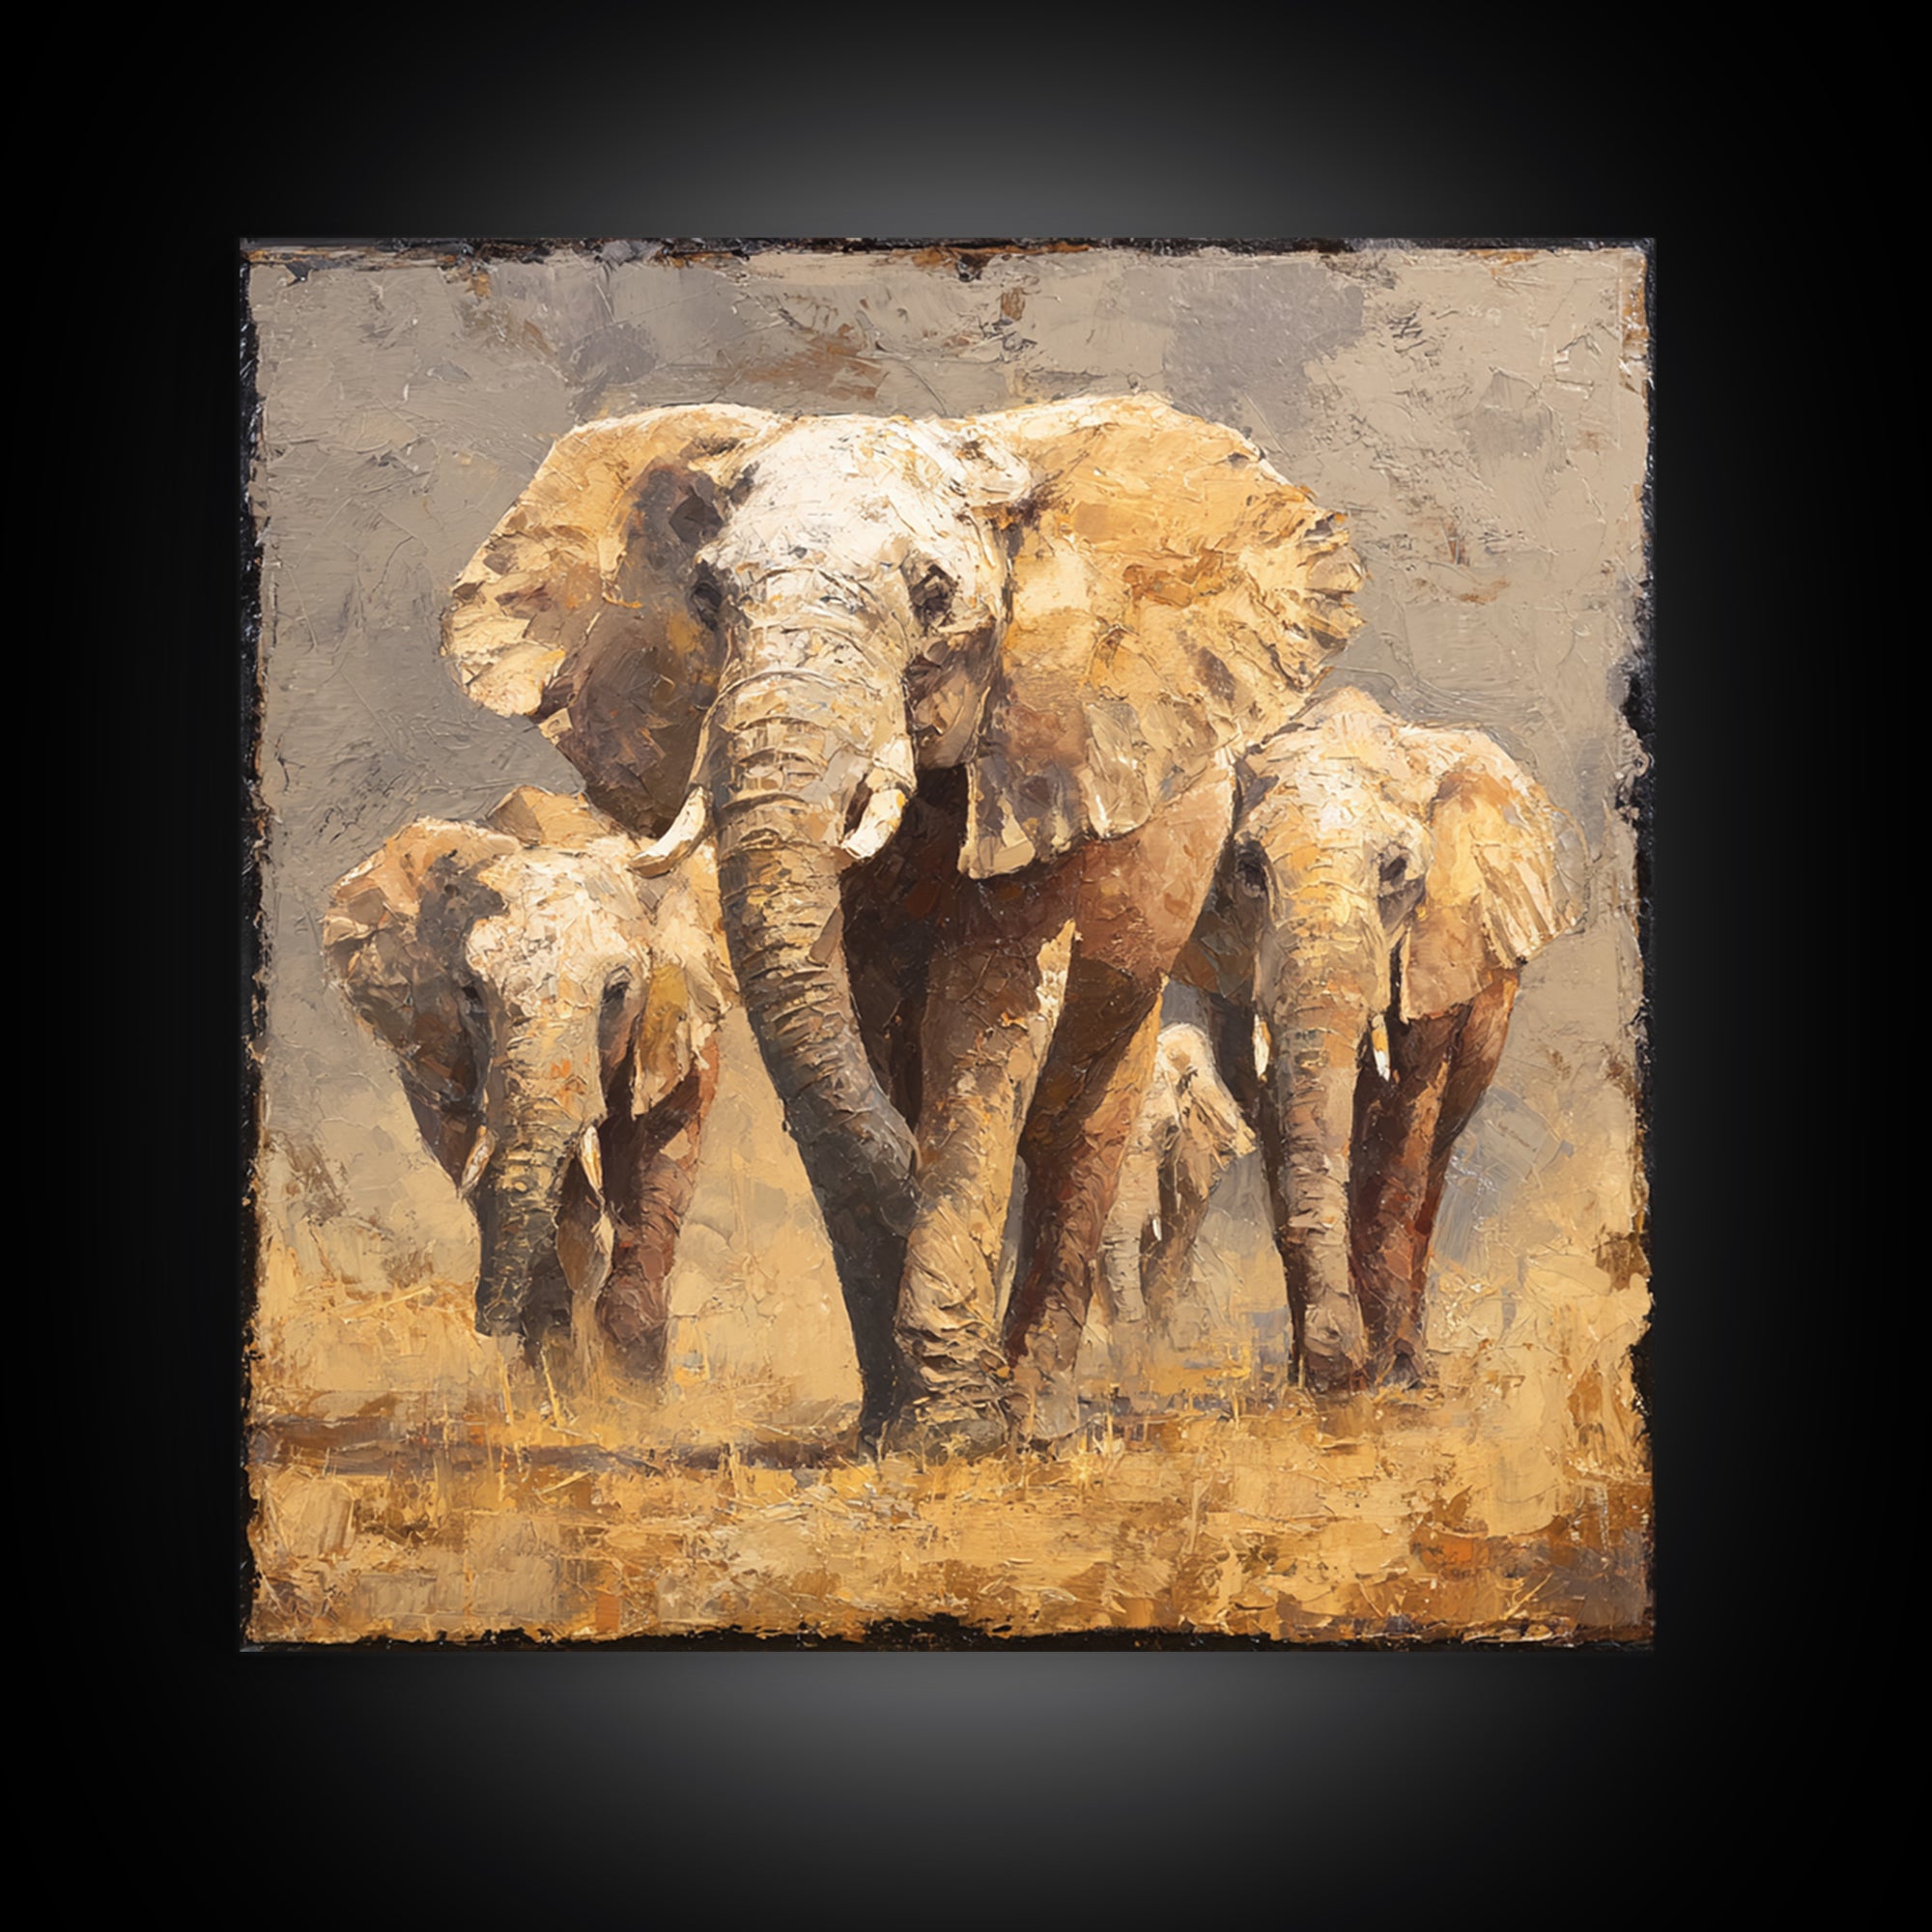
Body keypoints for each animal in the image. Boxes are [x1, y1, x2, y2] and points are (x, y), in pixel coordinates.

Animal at [321, 785, 731, 1386]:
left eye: (618, 991)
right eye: (470, 992)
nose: (485, 1320)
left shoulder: (676, 1022)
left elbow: (661, 1164)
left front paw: (631, 1386)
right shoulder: (443, 1053)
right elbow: (476, 1162)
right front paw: (557, 1368)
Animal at [441, 394, 1363, 1455]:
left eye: (930, 593)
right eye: (707, 597)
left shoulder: (1041, 752)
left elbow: (984, 1014)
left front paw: (955, 1434)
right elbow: (856, 1016)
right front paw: (896, 1425)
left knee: (1082, 1120)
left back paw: (1039, 1418)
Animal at [1174, 685, 1579, 1394]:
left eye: (1395, 869)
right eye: (1248, 868)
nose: (1343, 1369)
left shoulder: (1439, 943)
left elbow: (1400, 1128)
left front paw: (1390, 1378)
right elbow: (1275, 1120)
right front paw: (1318, 1377)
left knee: (1432, 1160)